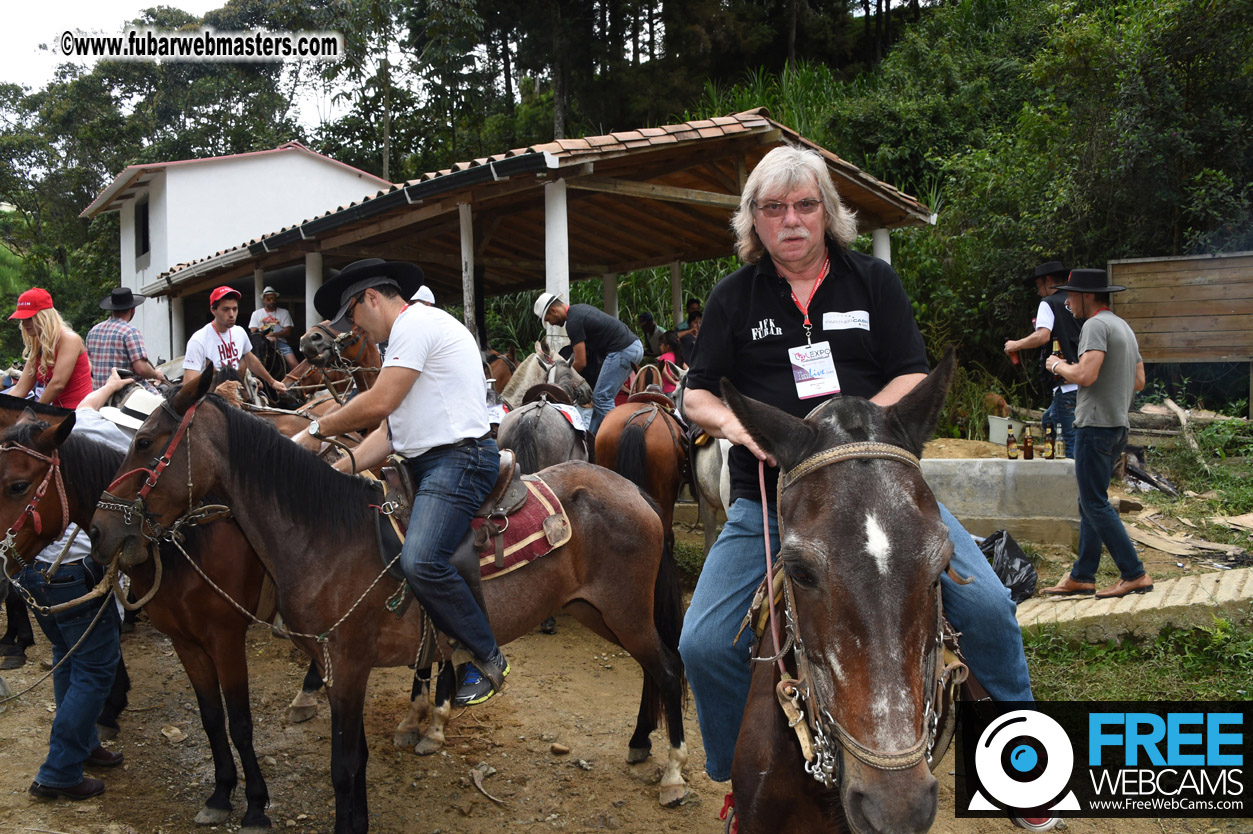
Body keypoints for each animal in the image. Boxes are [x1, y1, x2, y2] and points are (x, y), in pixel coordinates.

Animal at [0, 405, 275, 826]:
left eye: (16, 486)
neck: (186, 549)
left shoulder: (226, 640)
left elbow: (241, 723)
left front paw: (257, 805)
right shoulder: (186, 643)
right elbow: (212, 717)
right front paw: (220, 793)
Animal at [88, 370, 691, 831]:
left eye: (145, 442)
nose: (99, 529)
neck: (326, 537)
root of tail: (635, 492)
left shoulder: (344, 664)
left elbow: (343, 763)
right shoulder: (329, 665)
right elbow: (351, 759)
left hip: (624, 612)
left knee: (666, 667)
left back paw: (674, 773)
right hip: (599, 611)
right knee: (651, 668)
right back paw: (641, 741)